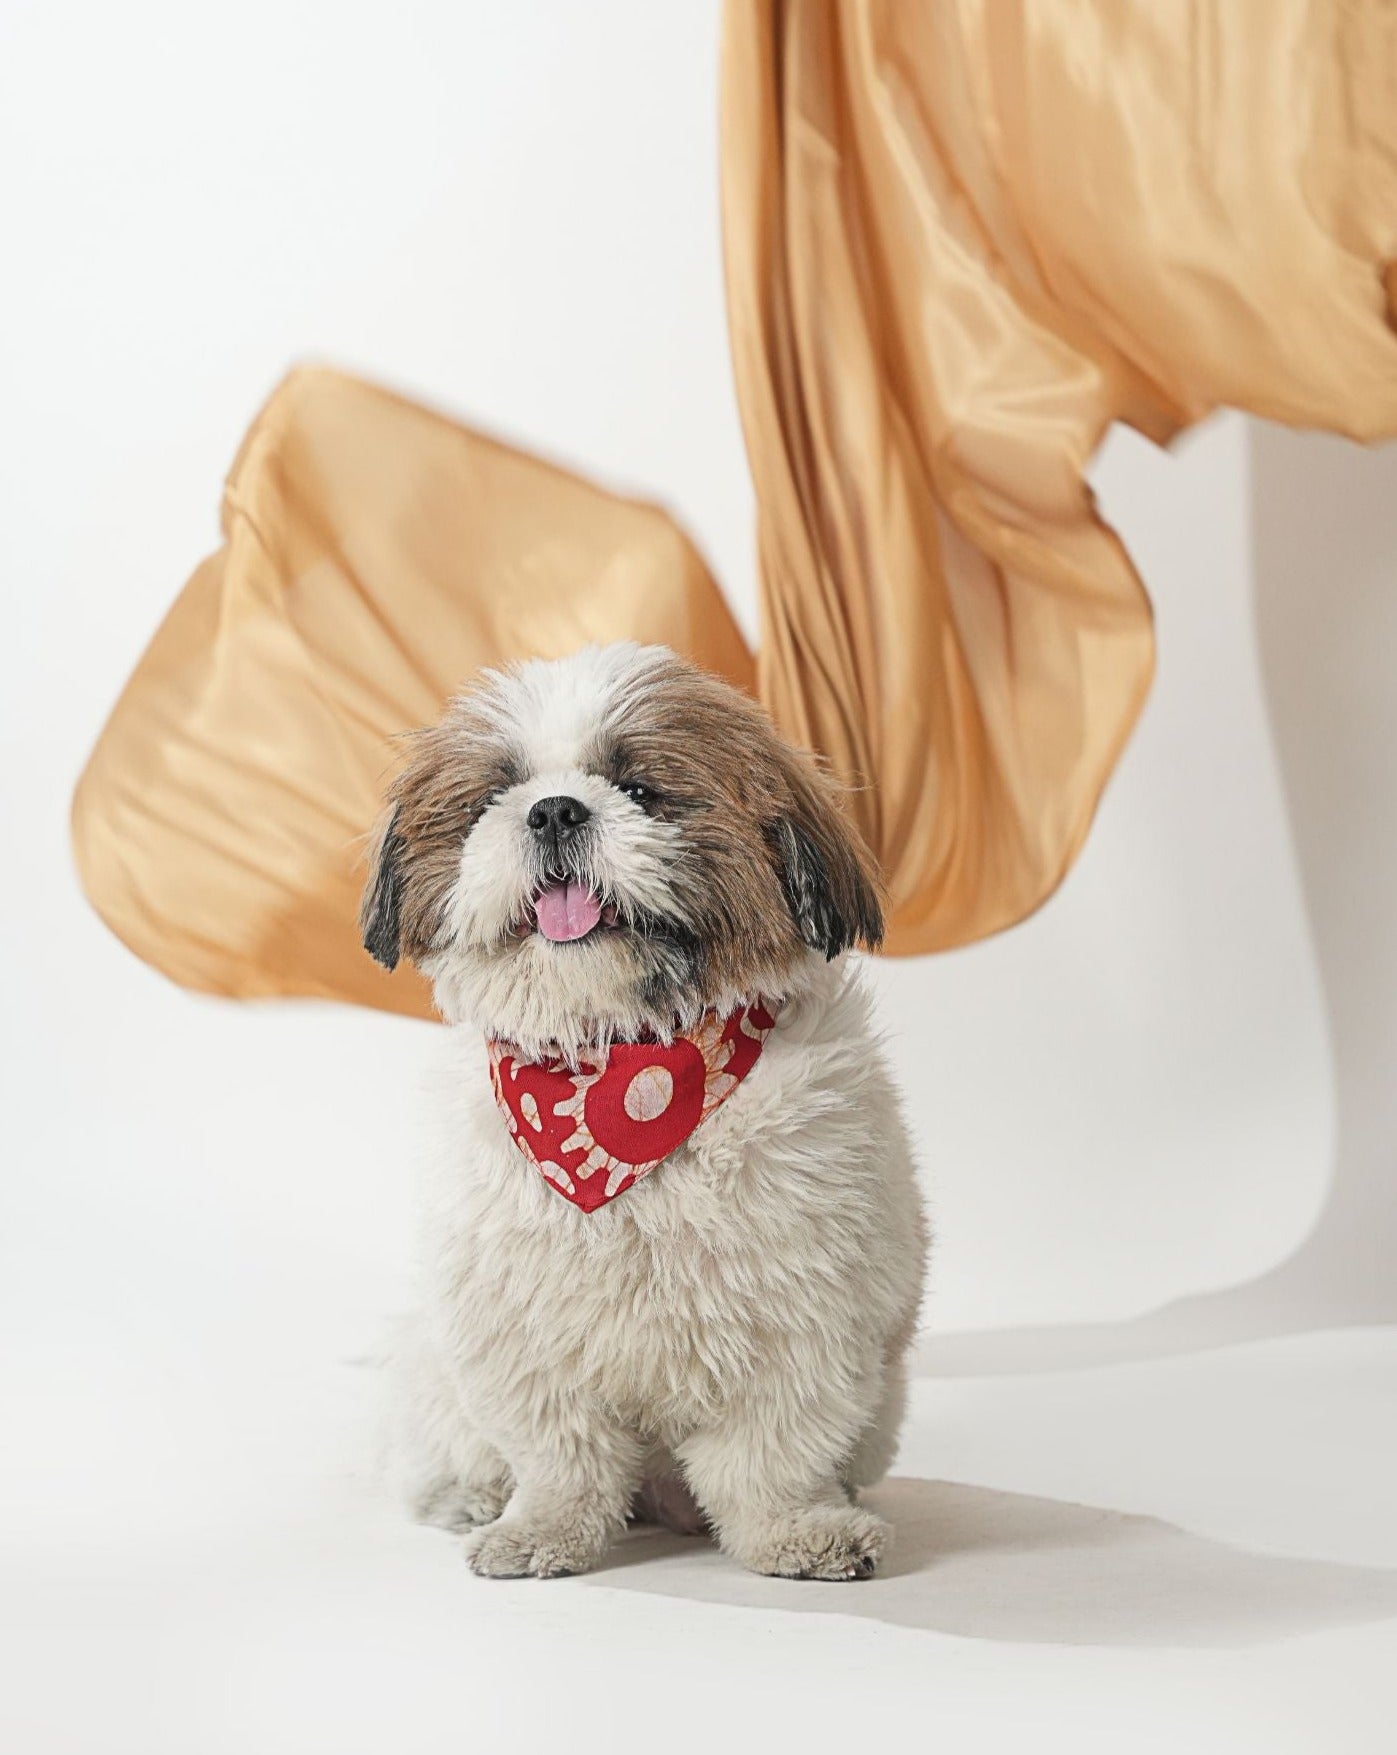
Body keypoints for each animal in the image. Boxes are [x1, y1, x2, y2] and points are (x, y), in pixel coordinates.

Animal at [359, 645, 926, 1579]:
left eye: (641, 789)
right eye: (494, 795)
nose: (553, 809)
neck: (625, 1070)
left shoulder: (804, 1313)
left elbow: (771, 1452)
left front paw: (796, 1529)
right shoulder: (522, 1330)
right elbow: (562, 1457)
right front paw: (540, 1529)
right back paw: (468, 1493)